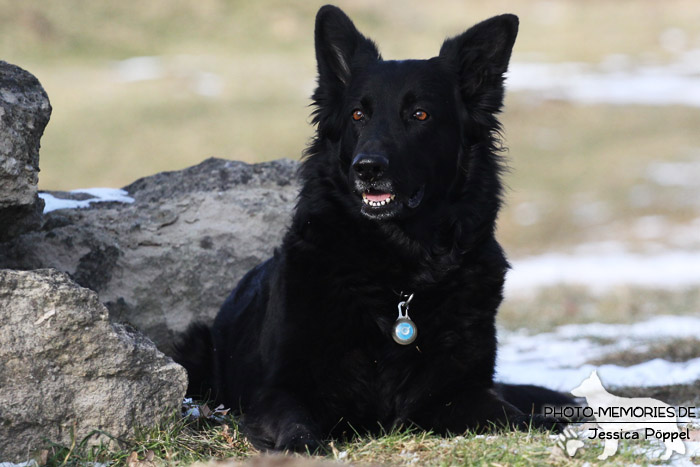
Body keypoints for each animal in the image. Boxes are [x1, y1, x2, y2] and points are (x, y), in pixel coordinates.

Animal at [174, 4, 568, 454]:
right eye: (358, 115)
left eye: (419, 115)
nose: (367, 169)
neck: (397, 274)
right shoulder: (281, 391)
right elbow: (296, 426)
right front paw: (304, 447)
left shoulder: (459, 392)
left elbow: (514, 416)